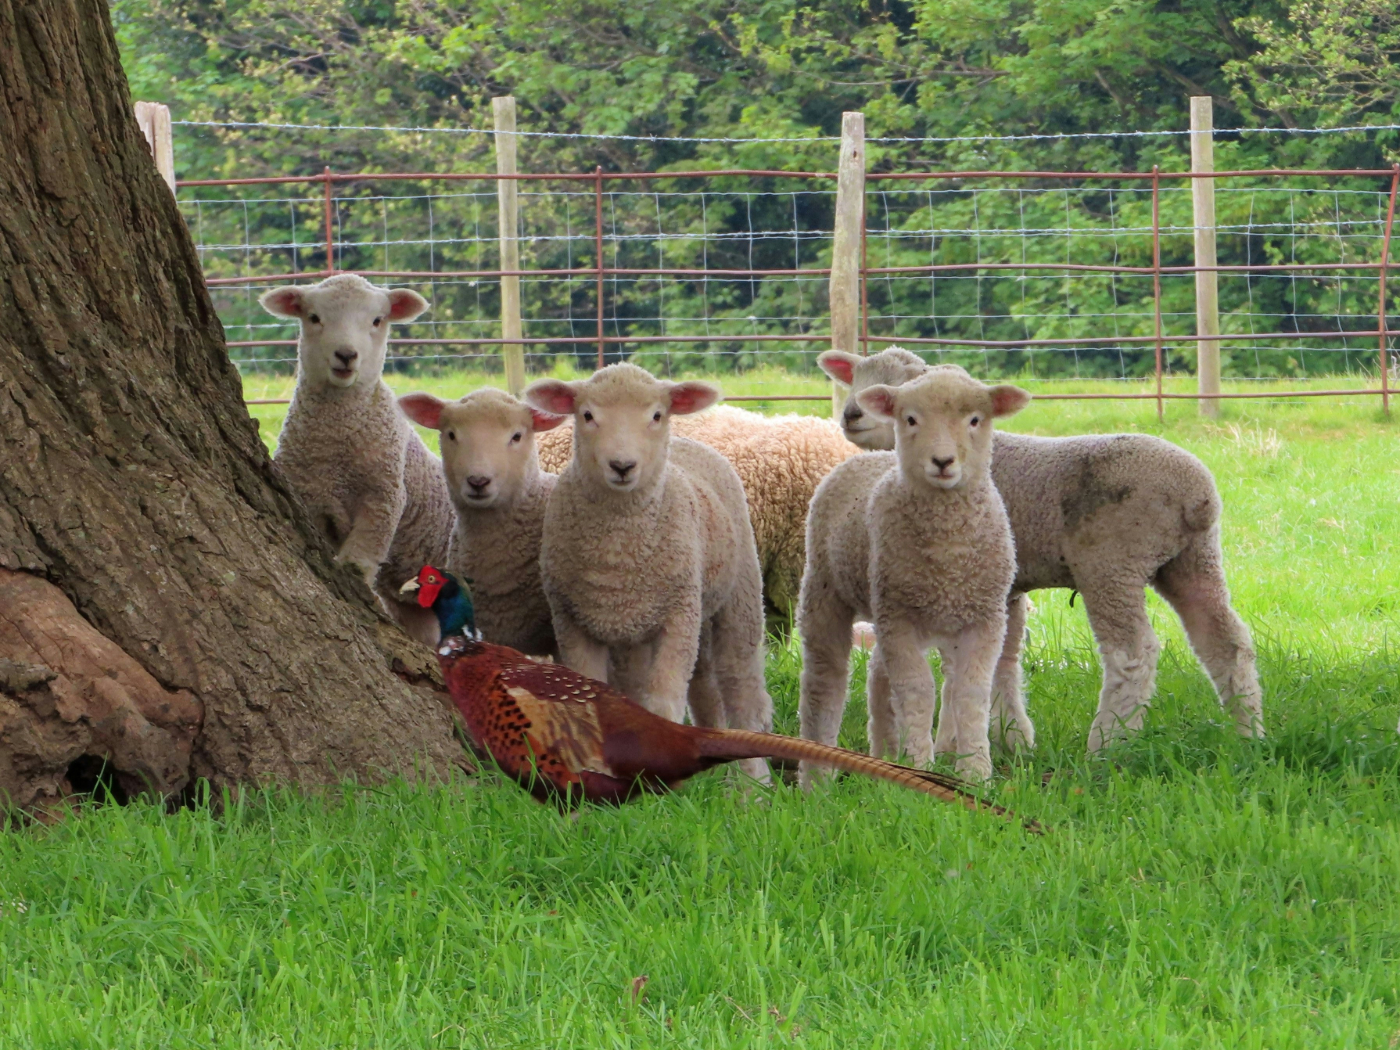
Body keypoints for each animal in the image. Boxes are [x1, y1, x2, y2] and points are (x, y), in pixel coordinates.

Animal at [259, 273, 453, 644]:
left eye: (377, 320)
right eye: (314, 318)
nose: (346, 355)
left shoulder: (384, 496)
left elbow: (360, 559)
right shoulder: (310, 497)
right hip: (415, 605)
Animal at [524, 364, 773, 782]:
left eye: (656, 415)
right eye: (587, 415)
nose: (622, 466)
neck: (619, 549)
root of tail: (691, 442)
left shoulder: (677, 616)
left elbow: (664, 704)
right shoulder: (572, 621)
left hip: (736, 596)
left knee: (741, 684)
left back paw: (753, 782)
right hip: (648, 625)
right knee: (701, 686)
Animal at [799, 367, 1030, 782]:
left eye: (975, 420)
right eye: (910, 419)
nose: (942, 461)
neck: (946, 547)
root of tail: (873, 457)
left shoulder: (985, 619)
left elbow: (971, 691)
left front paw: (975, 773)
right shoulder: (900, 620)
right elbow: (918, 689)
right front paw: (921, 766)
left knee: (879, 675)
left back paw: (885, 755)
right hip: (827, 589)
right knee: (824, 678)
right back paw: (816, 778)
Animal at [819, 347, 1264, 752]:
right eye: (856, 379)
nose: (851, 414)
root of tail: (1197, 496)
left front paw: (955, 742)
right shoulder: (1007, 586)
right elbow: (1004, 659)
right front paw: (1010, 737)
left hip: (1111, 562)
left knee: (1133, 654)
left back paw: (1106, 743)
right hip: (1192, 559)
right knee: (1225, 643)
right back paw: (1249, 733)